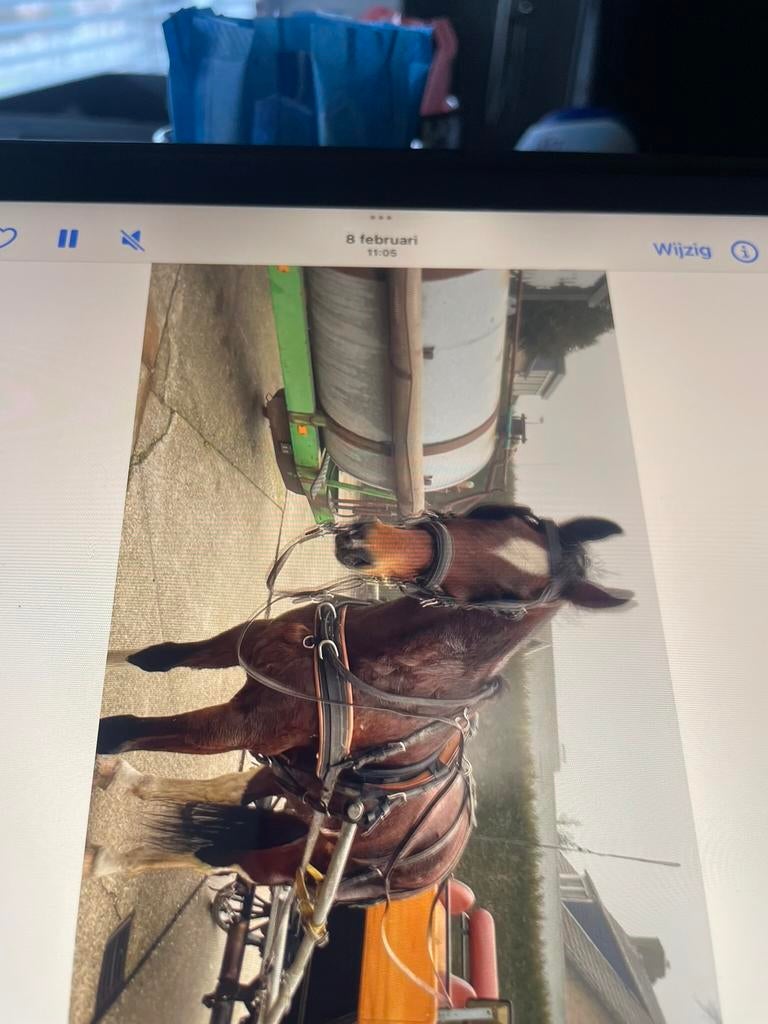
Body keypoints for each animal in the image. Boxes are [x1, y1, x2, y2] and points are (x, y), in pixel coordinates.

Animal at [86, 506, 633, 905]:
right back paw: (123, 783)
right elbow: (153, 660)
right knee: (236, 789)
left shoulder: (244, 728)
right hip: (299, 786)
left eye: (504, 599)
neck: (375, 663)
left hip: (302, 854)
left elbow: (121, 730)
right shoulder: (243, 646)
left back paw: (104, 859)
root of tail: (437, 866)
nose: (363, 542)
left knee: (225, 856)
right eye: (497, 517)